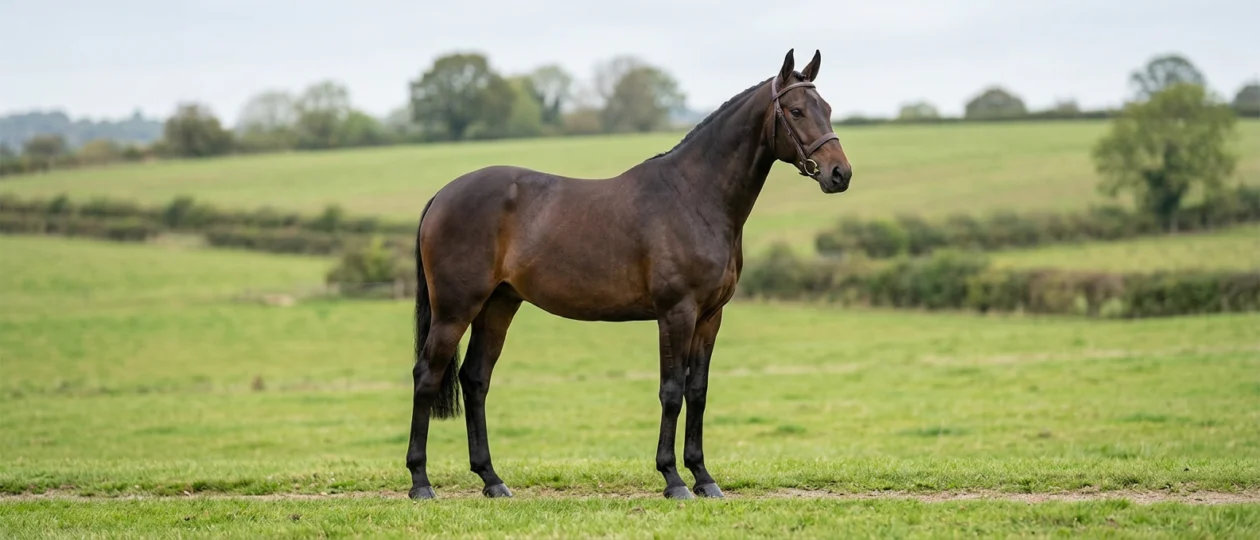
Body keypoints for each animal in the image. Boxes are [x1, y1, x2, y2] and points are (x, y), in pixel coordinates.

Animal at [405, 48, 853, 500]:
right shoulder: (676, 313)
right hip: (455, 310)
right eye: (796, 111)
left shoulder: (710, 316)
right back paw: (421, 482)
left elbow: (698, 391)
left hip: (498, 304)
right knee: (427, 376)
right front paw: (673, 479)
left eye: (828, 108)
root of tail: (442, 196)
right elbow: (671, 391)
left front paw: (703, 477)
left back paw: (492, 479)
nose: (840, 174)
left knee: (475, 379)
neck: (694, 196)